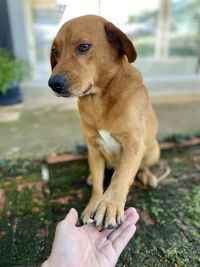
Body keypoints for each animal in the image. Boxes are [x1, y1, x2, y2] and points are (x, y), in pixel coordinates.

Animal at [48, 14, 159, 229]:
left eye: (83, 47)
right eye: (56, 51)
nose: (53, 84)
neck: (98, 99)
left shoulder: (133, 144)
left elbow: (121, 174)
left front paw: (110, 203)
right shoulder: (94, 147)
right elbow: (99, 185)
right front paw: (93, 204)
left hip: (152, 150)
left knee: (142, 166)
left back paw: (147, 175)